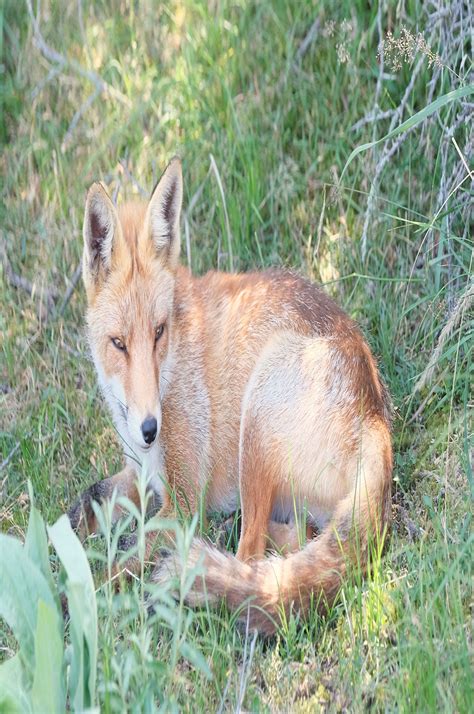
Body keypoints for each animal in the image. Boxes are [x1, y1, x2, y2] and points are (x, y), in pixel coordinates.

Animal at [67, 154, 392, 628]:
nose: (149, 429)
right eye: (118, 344)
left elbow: (112, 568)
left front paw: (66, 604)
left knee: (253, 562)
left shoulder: (182, 504)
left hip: (257, 414)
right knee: (297, 538)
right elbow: (83, 504)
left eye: (159, 332)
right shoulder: (140, 474)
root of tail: (376, 415)